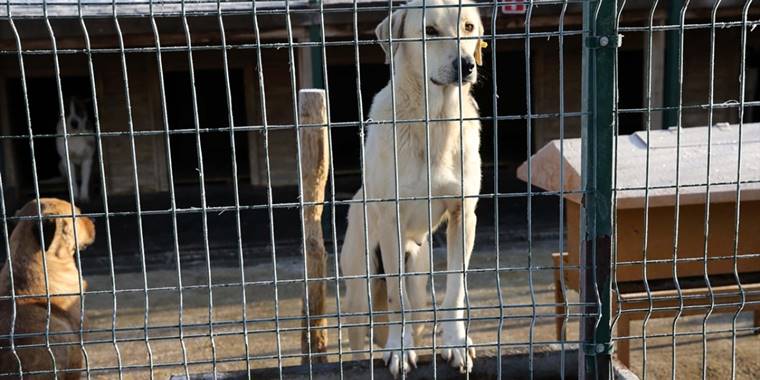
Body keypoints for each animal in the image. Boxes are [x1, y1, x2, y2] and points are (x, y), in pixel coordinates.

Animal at [340, 0, 486, 376]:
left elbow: (455, 291)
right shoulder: (391, 221)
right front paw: (398, 348)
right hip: (360, 285)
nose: (466, 64)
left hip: (419, 281)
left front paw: (456, 343)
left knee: (417, 304)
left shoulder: (464, 216)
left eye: (468, 27)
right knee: (359, 331)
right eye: (430, 31)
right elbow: (396, 299)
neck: (435, 119)